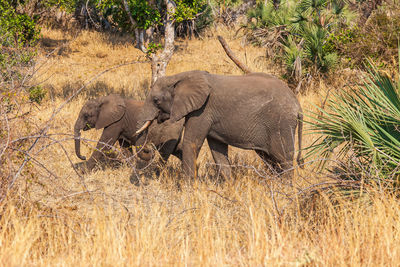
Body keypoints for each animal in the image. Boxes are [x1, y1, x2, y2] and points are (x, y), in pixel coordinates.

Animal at [136, 70, 302, 180]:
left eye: (156, 100)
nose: (149, 148)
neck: (179, 76)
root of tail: (297, 105)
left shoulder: (202, 110)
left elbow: (192, 143)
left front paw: (188, 190)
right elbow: (218, 150)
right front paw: (229, 187)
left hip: (280, 124)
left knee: (283, 158)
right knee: (270, 158)